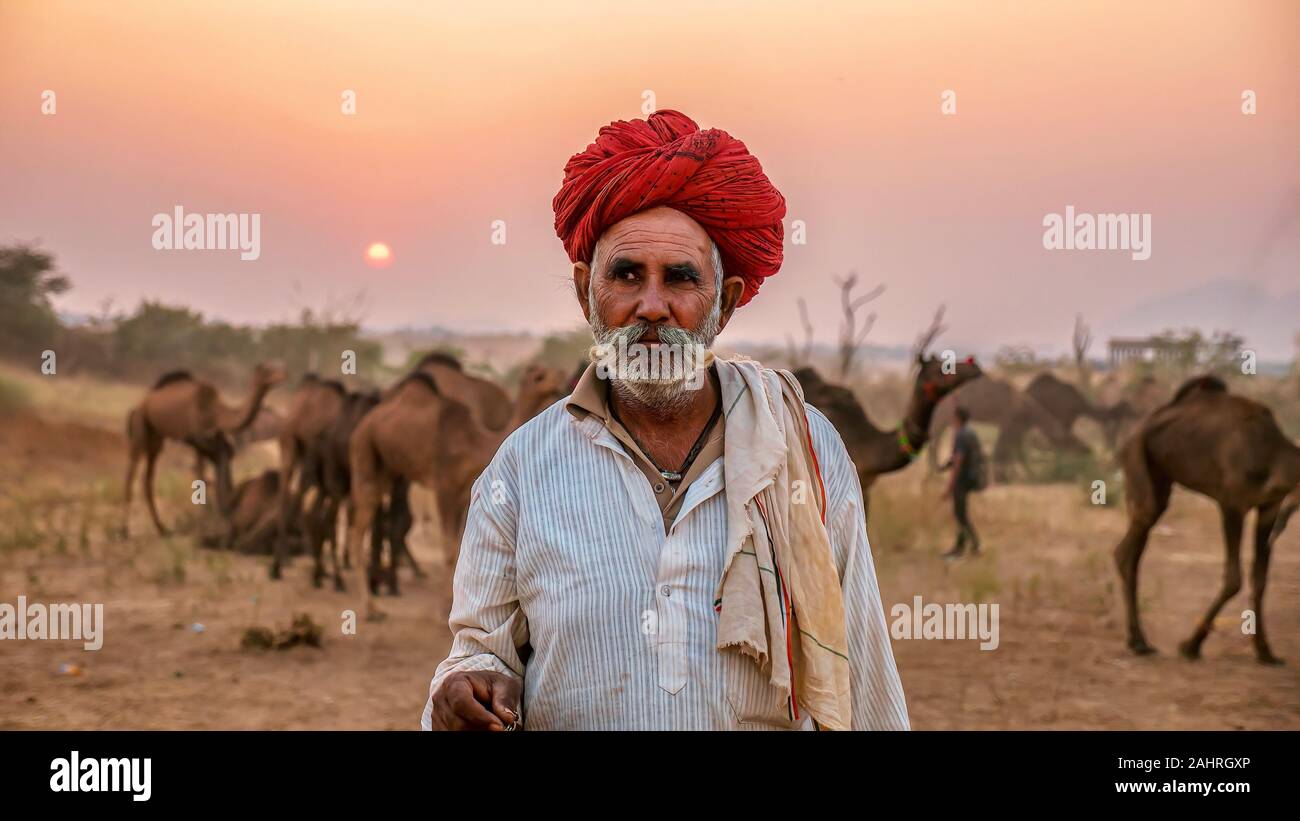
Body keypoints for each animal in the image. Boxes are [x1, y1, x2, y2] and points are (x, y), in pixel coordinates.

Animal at [123, 361, 284, 535]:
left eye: (277, 367)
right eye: (267, 371)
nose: (282, 375)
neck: (218, 412)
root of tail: (138, 406)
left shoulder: (214, 440)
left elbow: (219, 465)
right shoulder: (198, 437)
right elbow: (201, 472)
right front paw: (206, 520)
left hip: (156, 438)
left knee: (147, 479)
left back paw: (162, 529)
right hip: (140, 427)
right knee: (131, 472)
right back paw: (125, 530)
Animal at [345, 361, 569, 618]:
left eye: (556, 371)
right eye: (538, 376)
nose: (560, 380)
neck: (474, 442)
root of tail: (362, 425)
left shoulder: (463, 494)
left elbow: (460, 547)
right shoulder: (444, 488)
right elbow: (450, 547)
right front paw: (443, 609)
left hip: (387, 470)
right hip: (364, 453)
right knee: (357, 531)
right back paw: (370, 608)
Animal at [1107, 374, 1300, 665]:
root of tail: (1140, 428)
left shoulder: (1269, 507)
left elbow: (1260, 579)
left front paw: (1266, 652)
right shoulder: (1232, 503)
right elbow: (1233, 578)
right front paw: (1190, 645)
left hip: (1161, 480)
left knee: (1131, 550)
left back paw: (1138, 641)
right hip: (1138, 462)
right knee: (1130, 543)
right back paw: (1140, 643)